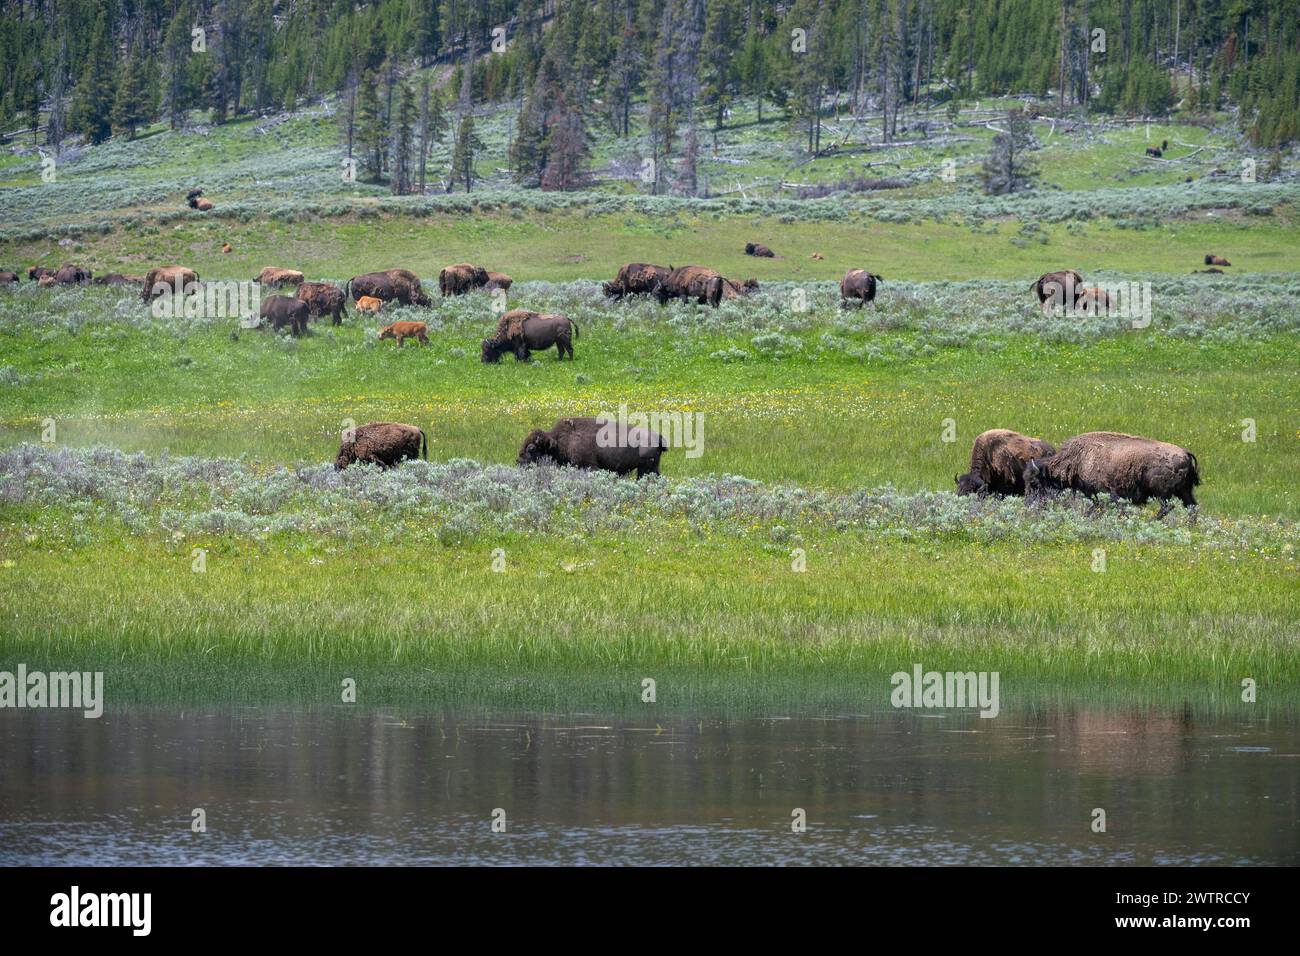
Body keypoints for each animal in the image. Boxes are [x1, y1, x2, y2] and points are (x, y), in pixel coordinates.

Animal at [514, 416, 665, 478]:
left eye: (531, 448)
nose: (518, 461)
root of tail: (657, 436)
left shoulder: (589, 466)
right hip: (652, 467)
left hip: (644, 468)